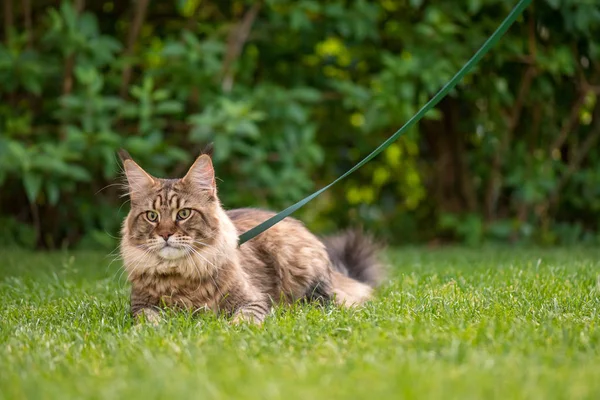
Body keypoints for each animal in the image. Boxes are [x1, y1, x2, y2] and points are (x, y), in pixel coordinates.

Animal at [118, 148, 384, 324]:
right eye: (152, 216)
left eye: (183, 213)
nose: (165, 234)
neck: (180, 275)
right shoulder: (140, 306)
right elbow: (148, 322)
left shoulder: (253, 301)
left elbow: (241, 321)